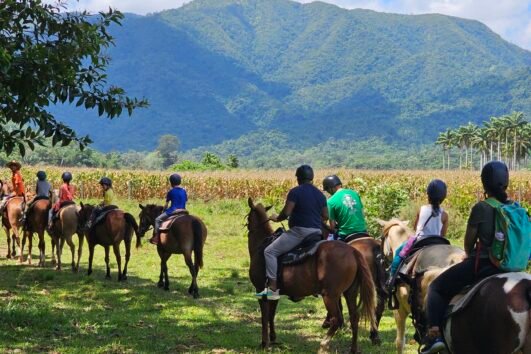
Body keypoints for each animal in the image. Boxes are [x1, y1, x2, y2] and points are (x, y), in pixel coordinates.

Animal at [247, 198, 376, 352]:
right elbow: (271, 316)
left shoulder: (261, 291)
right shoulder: (274, 294)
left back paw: (324, 344)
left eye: (248, 217)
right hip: (350, 292)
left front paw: (264, 343)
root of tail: (353, 251)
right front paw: (272, 339)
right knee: (354, 317)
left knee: (337, 319)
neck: (262, 244)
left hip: (330, 296)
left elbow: (264, 317)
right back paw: (353, 349)